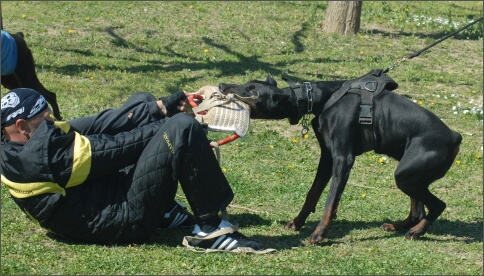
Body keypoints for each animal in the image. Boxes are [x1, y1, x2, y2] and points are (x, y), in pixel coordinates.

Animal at [218, 70, 462, 245]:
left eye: (252, 90)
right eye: (247, 83)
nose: (221, 85)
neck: (318, 98)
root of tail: (455, 136)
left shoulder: (343, 159)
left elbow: (330, 200)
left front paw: (319, 234)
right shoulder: (327, 157)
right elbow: (313, 193)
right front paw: (297, 222)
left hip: (406, 175)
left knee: (438, 205)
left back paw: (416, 232)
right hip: (411, 173)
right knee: (418, 208)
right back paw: (400, 226)